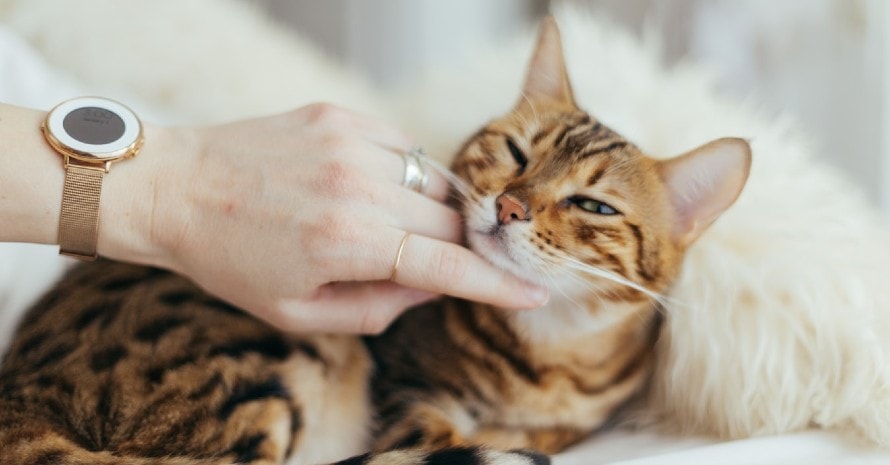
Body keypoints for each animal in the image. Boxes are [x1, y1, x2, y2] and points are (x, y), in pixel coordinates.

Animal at [0, 17, 748, 464]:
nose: (509, 205)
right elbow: (437, 434)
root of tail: (18, 399)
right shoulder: (404, 388)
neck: (548, 359)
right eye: (514, 152)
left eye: (592, 204)